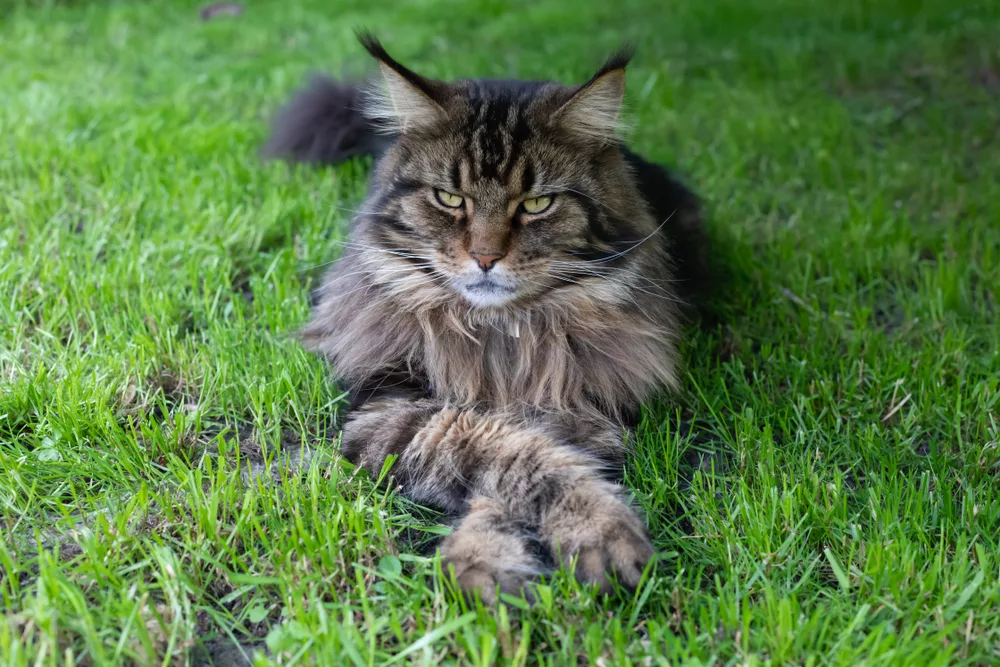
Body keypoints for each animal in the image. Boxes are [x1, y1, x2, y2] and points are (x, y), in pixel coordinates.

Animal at [262, 32, 708, 604]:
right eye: (450, 198)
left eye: (537, 204)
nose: (486, 257)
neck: (501, 337)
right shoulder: (392, 410)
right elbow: (505, 452)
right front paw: (490, 565)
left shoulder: (580, 409)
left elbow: (529, 465)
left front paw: (572, 540)